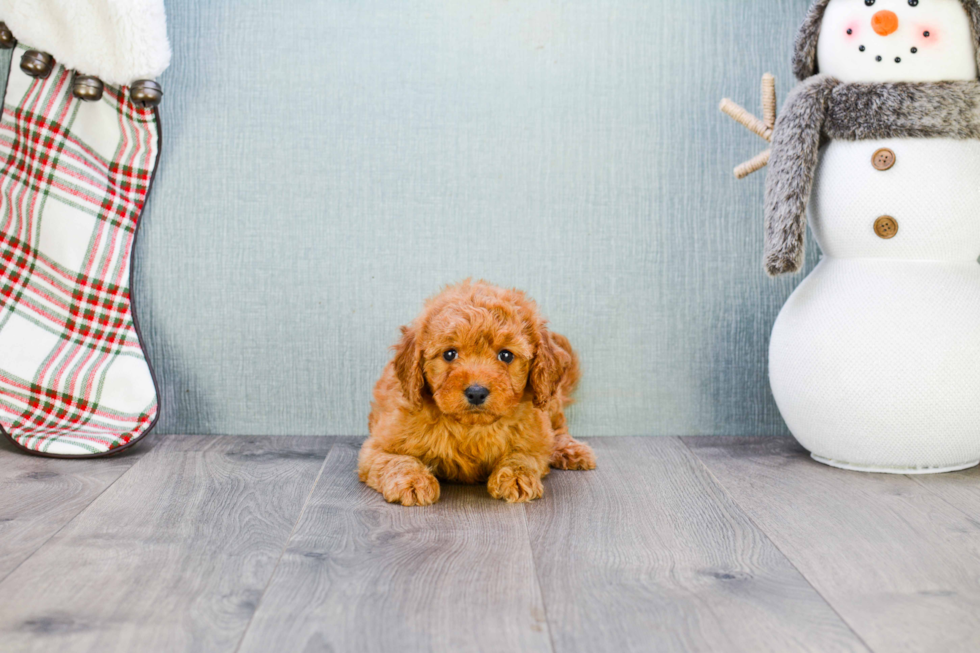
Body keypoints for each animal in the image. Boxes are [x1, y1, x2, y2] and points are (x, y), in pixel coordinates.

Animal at [356, 280, 592, 504]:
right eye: (449, 354)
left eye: (506, 355)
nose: (476, 392)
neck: (471, 428)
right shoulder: (378, 447)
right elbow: (398, 460)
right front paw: (413, 481)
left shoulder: (535, 441)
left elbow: (522, 457)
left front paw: (517, 477)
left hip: (550, 404)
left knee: (559, 429)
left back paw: (571, 450)